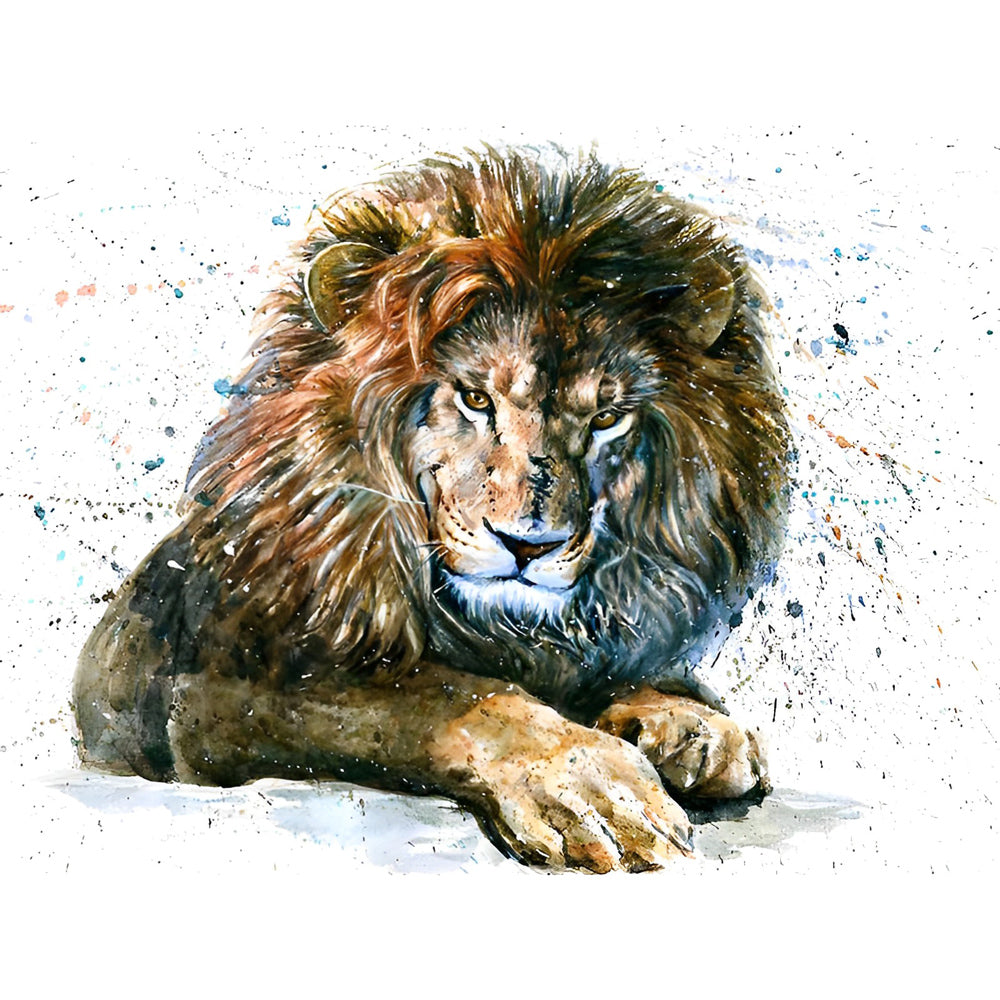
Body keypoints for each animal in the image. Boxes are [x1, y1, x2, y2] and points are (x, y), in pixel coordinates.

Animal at [73, 147, 790, 872]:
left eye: (607, 418)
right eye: (474, 398)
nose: (529, 546)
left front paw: (690, 721)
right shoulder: (197, 686)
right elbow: (451, 696)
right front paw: (590, 784)